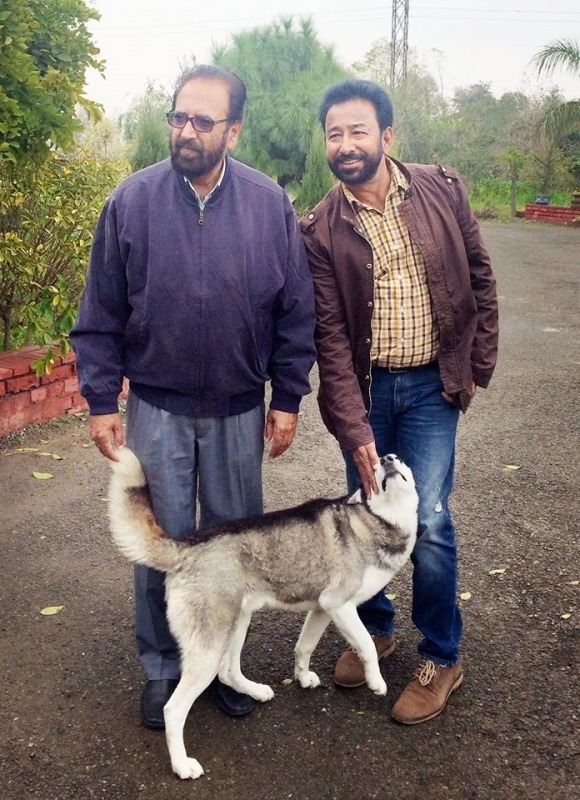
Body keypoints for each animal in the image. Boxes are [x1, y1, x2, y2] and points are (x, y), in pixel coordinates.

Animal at [109, 450, 416, 780]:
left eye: (399, 459)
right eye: (373, 466)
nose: (386, 458)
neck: (377, 522)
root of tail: (186, 548)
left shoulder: (323, 608)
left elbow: (304, 647)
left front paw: (302, 676)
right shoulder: (340, 605)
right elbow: (368, 646)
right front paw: (376, 681)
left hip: (238, 623)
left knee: (228, 672)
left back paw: (253, 691)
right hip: (210, 647)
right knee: (173, 709)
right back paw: (181, 764)